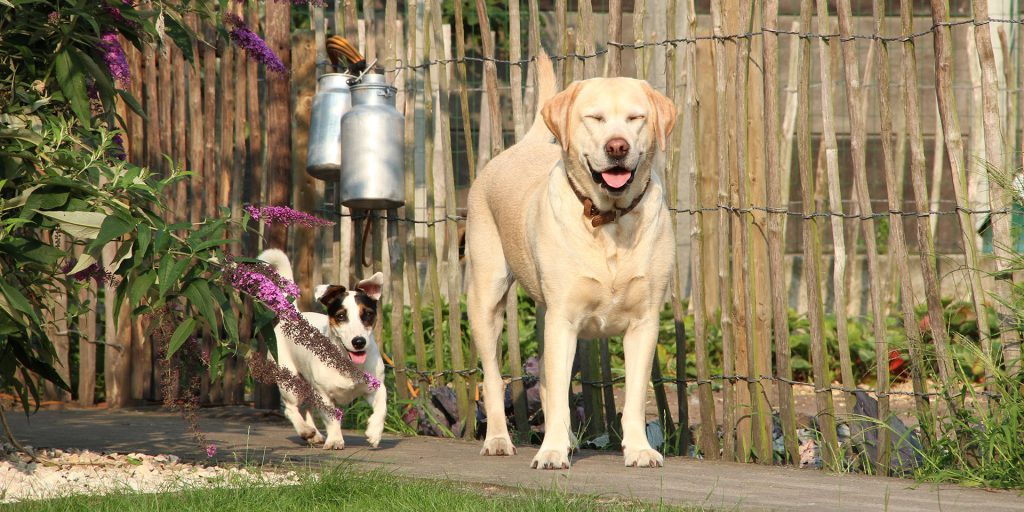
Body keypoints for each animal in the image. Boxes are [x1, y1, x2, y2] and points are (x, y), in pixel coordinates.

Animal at [466, 50, 675, 468]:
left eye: (636, 118)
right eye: (594, 118)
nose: (617, 147)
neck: (609, 220)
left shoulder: (644, 324)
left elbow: (633, 397)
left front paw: (639, 449)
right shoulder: (563, 320)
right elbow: (561, 397)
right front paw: (550, 453)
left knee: (548, 382)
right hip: (486, 299)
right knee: (494, 377)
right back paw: (498, 439)